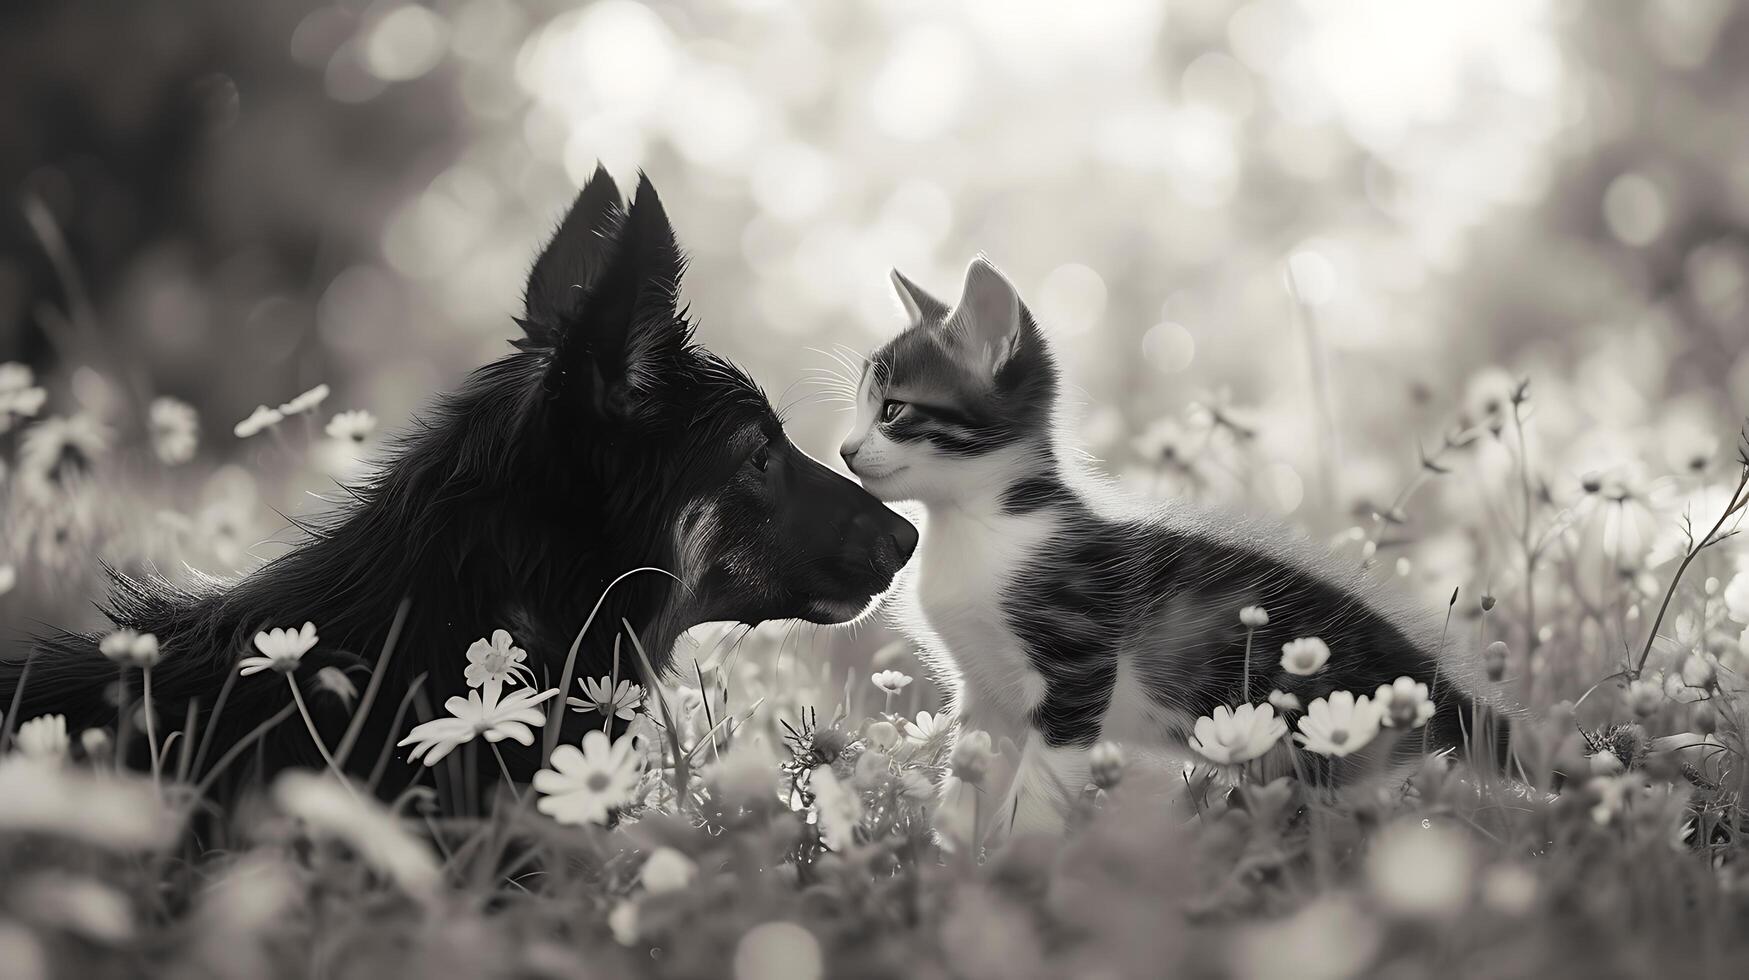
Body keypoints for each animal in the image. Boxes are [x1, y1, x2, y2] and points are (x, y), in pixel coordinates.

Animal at [839, 259, 1497, 833]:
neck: (985, 522)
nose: (845, 450)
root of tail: (1436, 684)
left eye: (892, 409)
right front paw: (951, 864)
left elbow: (1038, 796)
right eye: (859, 410)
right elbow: (968, 779)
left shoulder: (1078, 666)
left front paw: (1014, 866)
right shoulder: (983, 691)